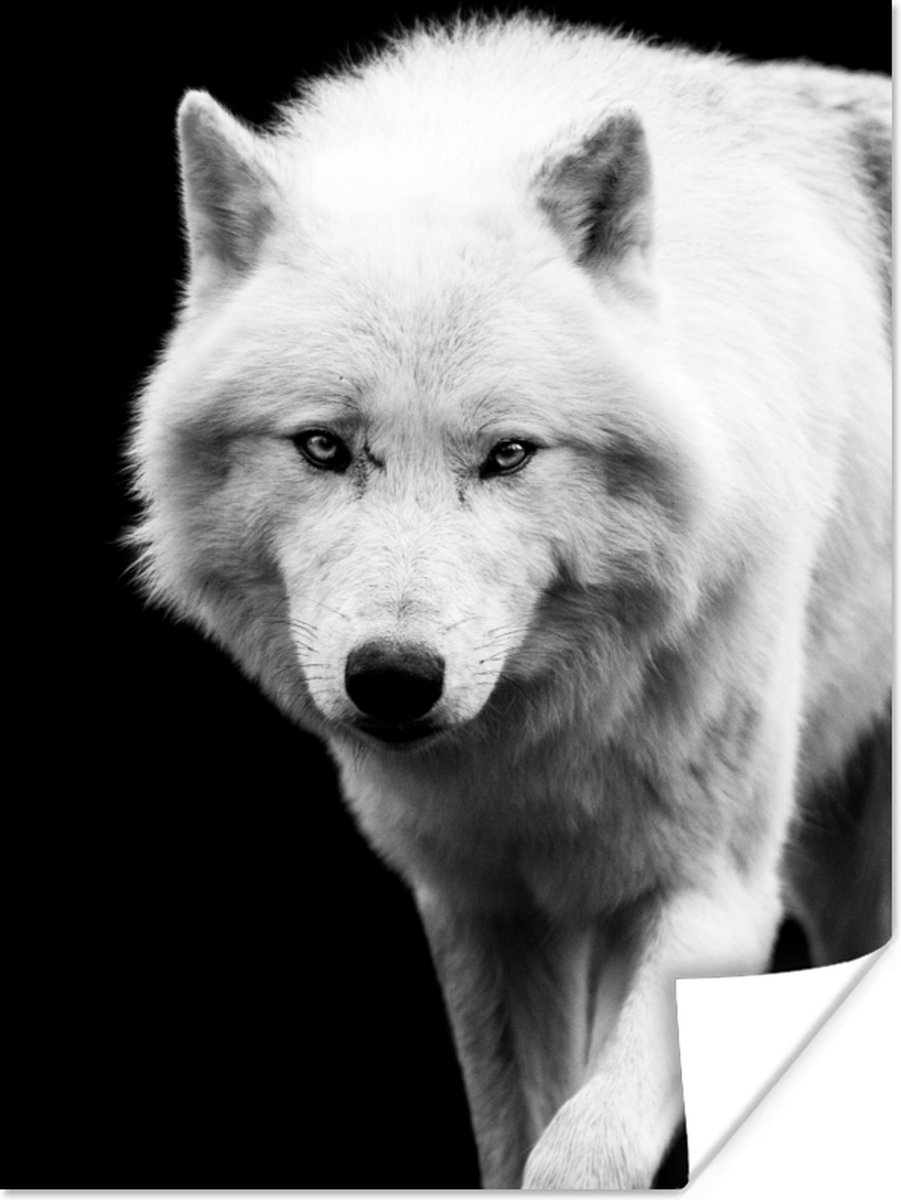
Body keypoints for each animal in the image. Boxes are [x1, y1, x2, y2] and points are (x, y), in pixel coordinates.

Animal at [129, 15, 892, 1189]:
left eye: (508, 455)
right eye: (323, 447)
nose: (394, 680)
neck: (544, 743)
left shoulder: (713, 894)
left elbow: (578, 1152)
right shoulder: (484, 909)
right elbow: (514, 1137)